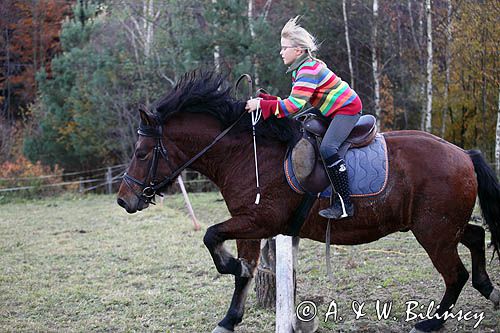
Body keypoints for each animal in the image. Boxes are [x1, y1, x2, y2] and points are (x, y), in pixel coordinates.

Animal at [118, 71, 500, 330]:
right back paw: (489, 290)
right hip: (443, 226)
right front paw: (229, 318)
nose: (124, 201)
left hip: (433, 232)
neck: (246, 156)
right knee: (475, 236)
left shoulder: (258, 221)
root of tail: (463, 153)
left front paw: (229, 267)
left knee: (456, 274)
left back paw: (432, 322)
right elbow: (243, 271)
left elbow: (213, 238)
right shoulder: (248, 226)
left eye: (141, 153)